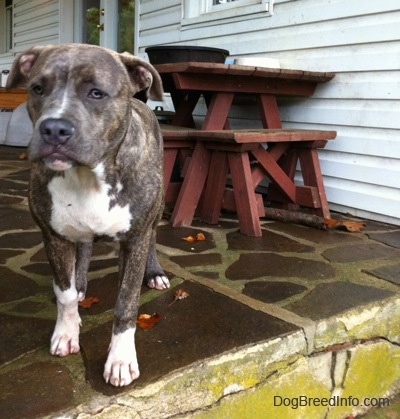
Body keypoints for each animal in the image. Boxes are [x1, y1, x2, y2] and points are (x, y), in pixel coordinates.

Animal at [6, 44, 169, 388]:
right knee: (84, 249)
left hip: (157, 211)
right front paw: (67, 333)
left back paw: (155, 273)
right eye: (37, 88)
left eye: (96, 93)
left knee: (153, 239)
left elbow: (126, 304)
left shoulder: (134, 240)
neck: (88, 176)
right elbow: (64, 293)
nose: (54, 129)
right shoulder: (53, 236)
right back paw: (80, 283)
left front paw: (120, 359)